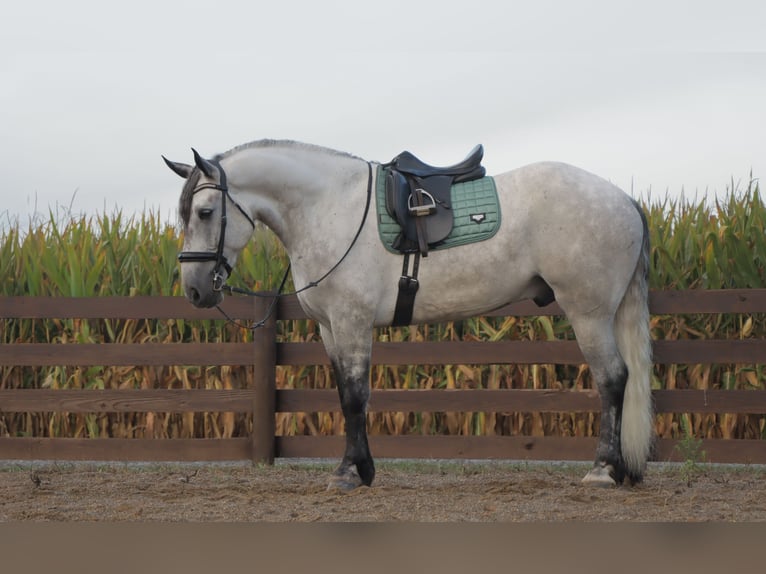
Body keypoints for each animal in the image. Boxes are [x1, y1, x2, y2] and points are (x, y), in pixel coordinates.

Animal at [164, 139, 654, 490]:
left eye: (205, 211)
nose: (195, 289)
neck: (330, 208)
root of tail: (623, 200)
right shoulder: (329, 328)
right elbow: (347, 395)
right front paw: (362, 470)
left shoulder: (352, 322)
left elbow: (355, 396)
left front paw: (348, 473)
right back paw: (622, 471)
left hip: (588, 314)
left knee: (613, 379)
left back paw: (603, 471)